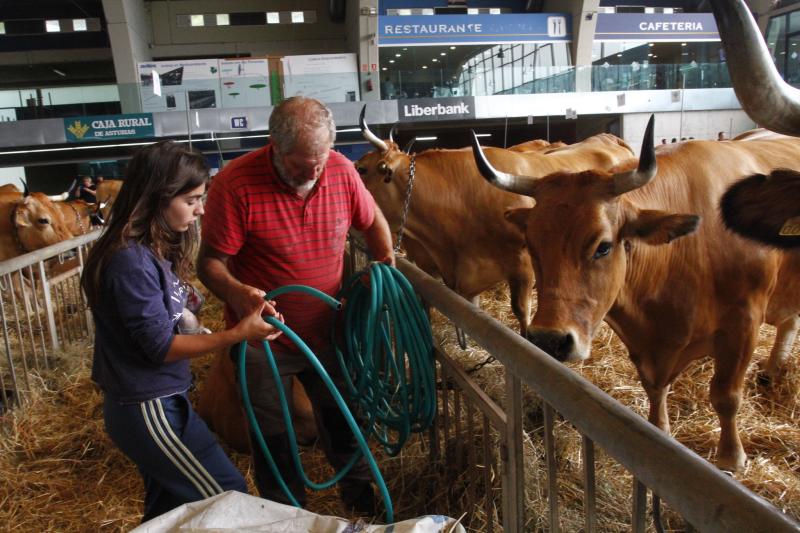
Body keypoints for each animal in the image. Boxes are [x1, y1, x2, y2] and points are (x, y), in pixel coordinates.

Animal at [468, 117, 800, 470]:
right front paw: (661, 432)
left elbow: (726, 396)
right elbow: (654, 388)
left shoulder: (744, 324)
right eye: (531, 246)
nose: (549, 340)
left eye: (603, 246)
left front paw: (731, 459)